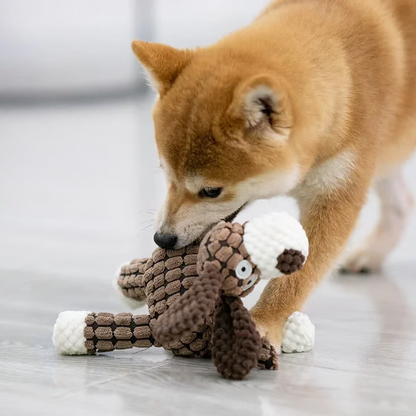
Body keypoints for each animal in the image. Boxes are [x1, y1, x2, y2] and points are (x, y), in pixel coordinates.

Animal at [132, 0, 416, 350]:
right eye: (165, 174)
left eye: (212, 191)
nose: (163, 239)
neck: (346, 74)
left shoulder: (336, 195)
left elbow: (298, 276)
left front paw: (264, 323)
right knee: (402, 202)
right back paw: (371, 255)